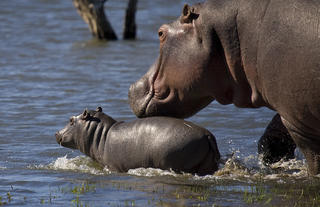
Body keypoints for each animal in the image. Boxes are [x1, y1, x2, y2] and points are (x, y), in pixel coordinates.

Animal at [55, 107, 220, 175]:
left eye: (71, 120)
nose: (56, 132)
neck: (102, 134)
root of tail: (207, 135)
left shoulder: (113, 167)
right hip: (207, 165)